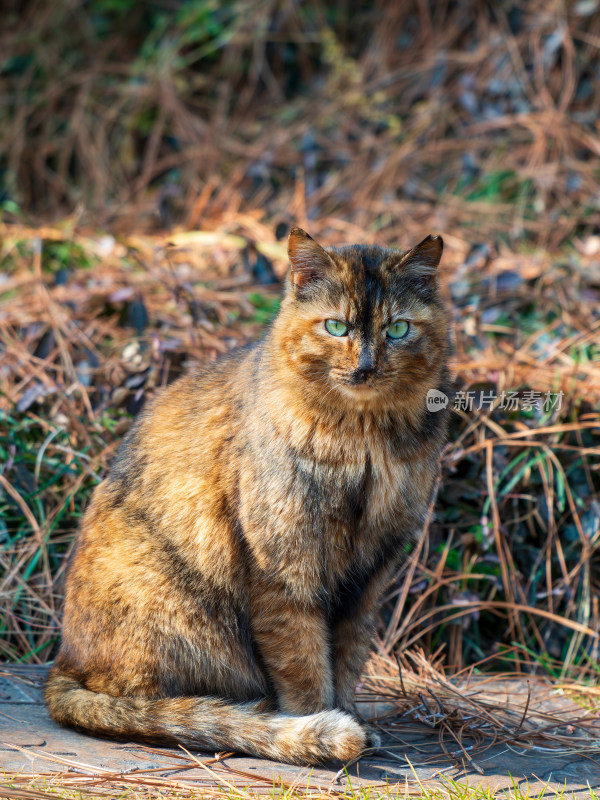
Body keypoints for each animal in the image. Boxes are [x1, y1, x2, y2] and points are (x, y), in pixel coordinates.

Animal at [45, 228, 450, 764]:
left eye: (399, 330)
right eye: (336, 327)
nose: (365, 368)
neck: (364, 446)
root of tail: (63, 664)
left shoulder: (370, 575)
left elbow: (347, 658)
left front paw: (352, 721)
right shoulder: (285, 568)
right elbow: (304, 664)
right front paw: (317, 729)